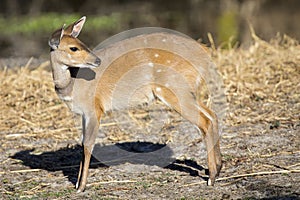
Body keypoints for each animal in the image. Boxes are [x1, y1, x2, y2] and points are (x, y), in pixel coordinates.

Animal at [48, 16, 225, 192]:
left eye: (81, 44)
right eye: (74, 48)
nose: (97, 60)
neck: (72, 85)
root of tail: (204, 53)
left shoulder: (94, 109)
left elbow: (87, 144)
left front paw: (81, 187)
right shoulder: (84, 114)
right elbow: (83, 143)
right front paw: (77, 184)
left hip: (174, 89)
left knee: (205, 121)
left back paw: (211, 177)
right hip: (187, 92)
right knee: (212, 115)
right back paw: (217, 168)